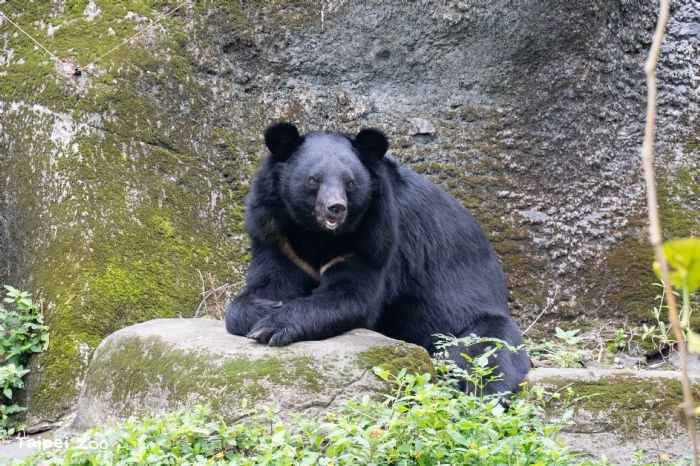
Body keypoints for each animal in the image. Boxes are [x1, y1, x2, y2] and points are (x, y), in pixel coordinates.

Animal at [225, 122, 530, 395]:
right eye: (313, 181)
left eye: (350, 183)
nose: (336, 208)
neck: (318, 233)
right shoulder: (277, 236)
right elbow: (264, 287)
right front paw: (266, 307)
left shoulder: (376, 238)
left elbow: (352, 297)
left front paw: (271, 327)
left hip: (474, 324)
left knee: (486, 356)